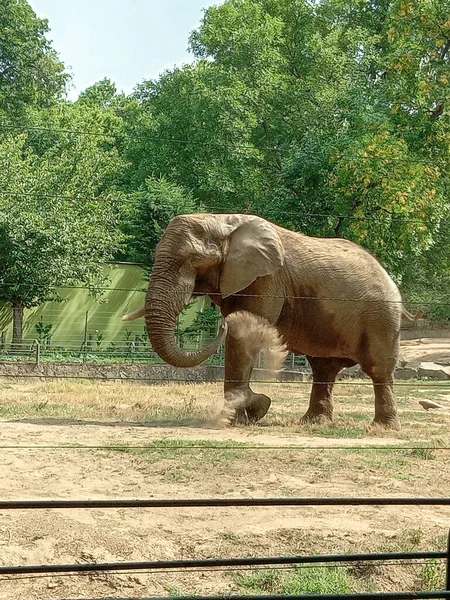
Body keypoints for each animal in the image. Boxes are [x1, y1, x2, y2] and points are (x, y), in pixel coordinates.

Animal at [124, 213, 418, 428]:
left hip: (382, 317)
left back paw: (382, 428)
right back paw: (312, 423)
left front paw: (241, 415)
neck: (222, 220)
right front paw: (253, 410)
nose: (222, 325)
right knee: (324, 370)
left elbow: (246, 334)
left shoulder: (267, 280)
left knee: (379, 370)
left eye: (194, 260)